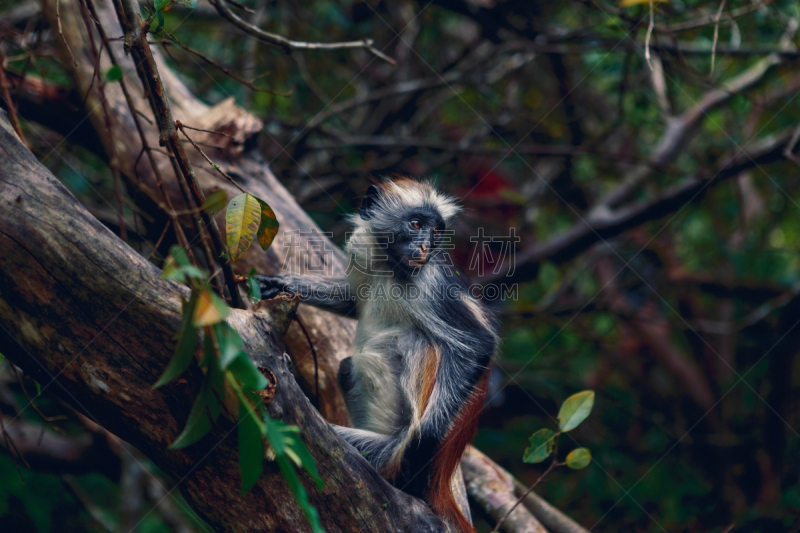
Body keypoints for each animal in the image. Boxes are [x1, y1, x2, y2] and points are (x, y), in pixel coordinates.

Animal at [262, 178, 496, 528]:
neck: (392, 267)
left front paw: (425, 439)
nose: (425, 247)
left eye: (436, 232)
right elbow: (350, 298)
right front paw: (281, 284)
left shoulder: (432, 283)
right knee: (347, 367)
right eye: (416, 224)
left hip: (390, 453)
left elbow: (480, 343)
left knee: (416, 341)